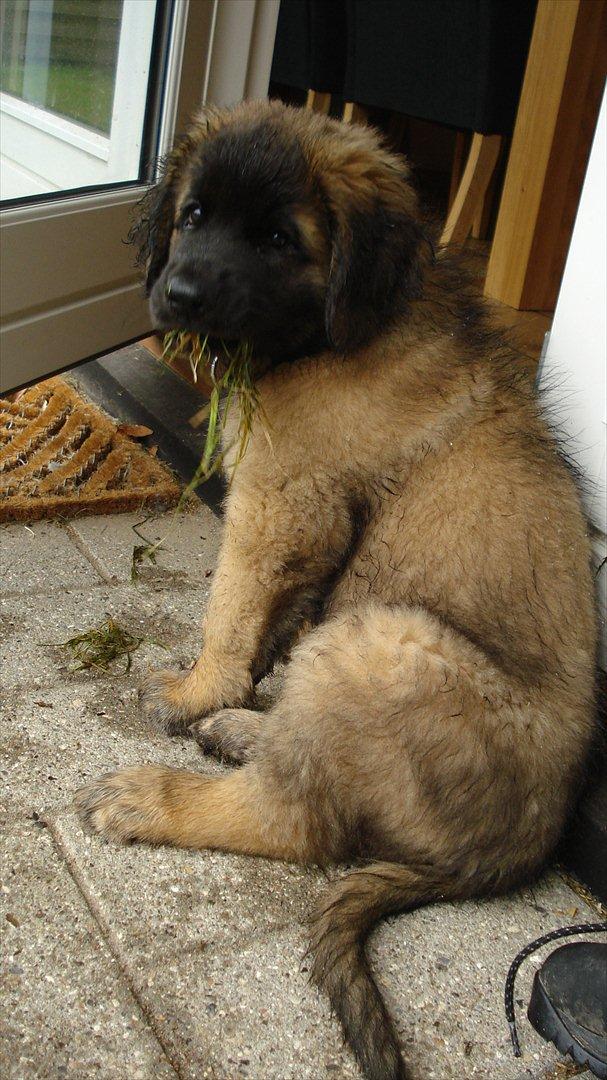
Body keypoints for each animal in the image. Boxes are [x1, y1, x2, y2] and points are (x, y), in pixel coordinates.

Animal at [75, 103, 596, 1080]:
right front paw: (232, 693)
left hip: (379, 642)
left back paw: (158, 796)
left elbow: (231, 605)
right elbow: (268, 621)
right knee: (310, 758)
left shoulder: (284, 500)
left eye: (280, 239)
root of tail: (517, 850)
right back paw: (245, 731)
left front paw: (196, 687)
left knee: (297, 820)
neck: (332, 330)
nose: (180, 297)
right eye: (193, 216)